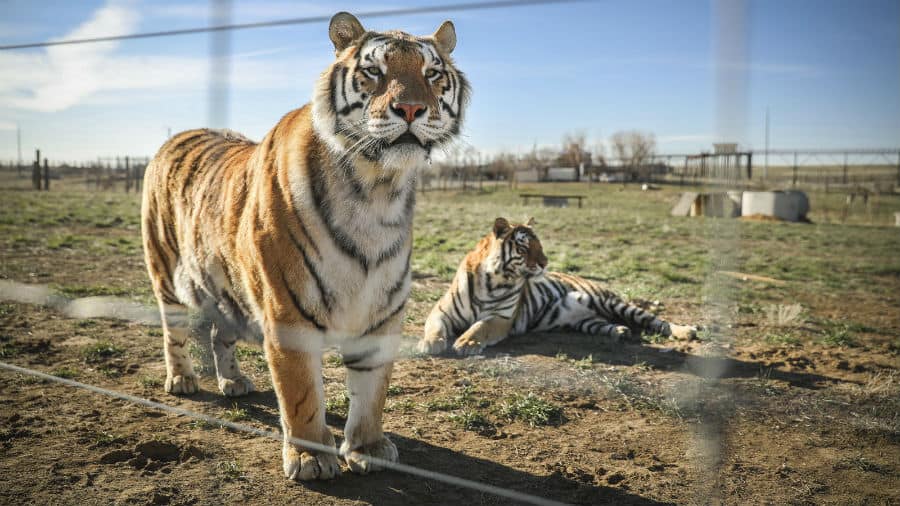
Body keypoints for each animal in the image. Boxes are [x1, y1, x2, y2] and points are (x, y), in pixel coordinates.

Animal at [144, 10, 468, 478]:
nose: (410, 108)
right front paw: (311, 457)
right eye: (375, 71)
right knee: (175, 330)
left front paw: (368, 447)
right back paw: (182, 380)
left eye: (432, 73)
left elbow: (372, 391)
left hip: (228, 287)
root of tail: (177, 136)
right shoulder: (288, 311)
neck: (377, 189)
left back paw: (233, 381)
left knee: (220, 334)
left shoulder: (382, 313)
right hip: (166, 271)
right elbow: (300, 394)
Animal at [414, 217, 696, 356]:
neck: (492, 280)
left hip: (612, 302)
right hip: (587, 320)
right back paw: (620, 332)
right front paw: (430, 343)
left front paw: (467, 343)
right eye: (524, 247)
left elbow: (480, 327)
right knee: (605, 323)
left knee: (656, 320)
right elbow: (435, 327)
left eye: (540, 246)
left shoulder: (501, 318)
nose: (545, 263)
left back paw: (686, 332)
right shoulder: (442, 311)